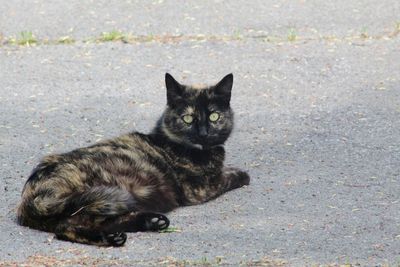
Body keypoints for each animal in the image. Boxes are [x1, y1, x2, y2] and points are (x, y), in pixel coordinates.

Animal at [18, 74, 252, 247]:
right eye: (188, 118)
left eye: (214, 116)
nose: (203, 133)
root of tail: (30, 195)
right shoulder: (200, 189)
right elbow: (229, 176)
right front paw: (241, 173)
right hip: (100, 195)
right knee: (65, 228)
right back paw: (114, 237)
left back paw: (150, 222)